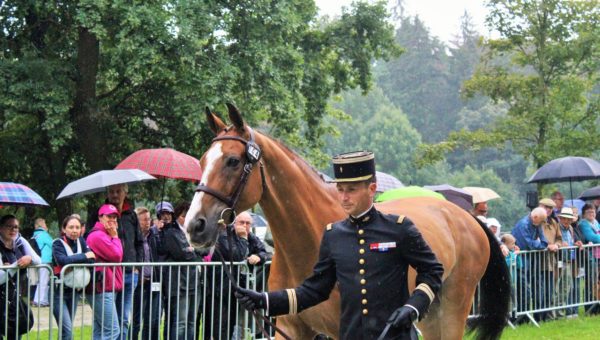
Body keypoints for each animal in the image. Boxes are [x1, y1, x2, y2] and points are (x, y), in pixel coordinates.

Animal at [185, 104, 508, 340]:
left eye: (233, 161)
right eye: (201, 161)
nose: (194, 226)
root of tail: (465, 217)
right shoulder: (292, 328)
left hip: (453, 309)